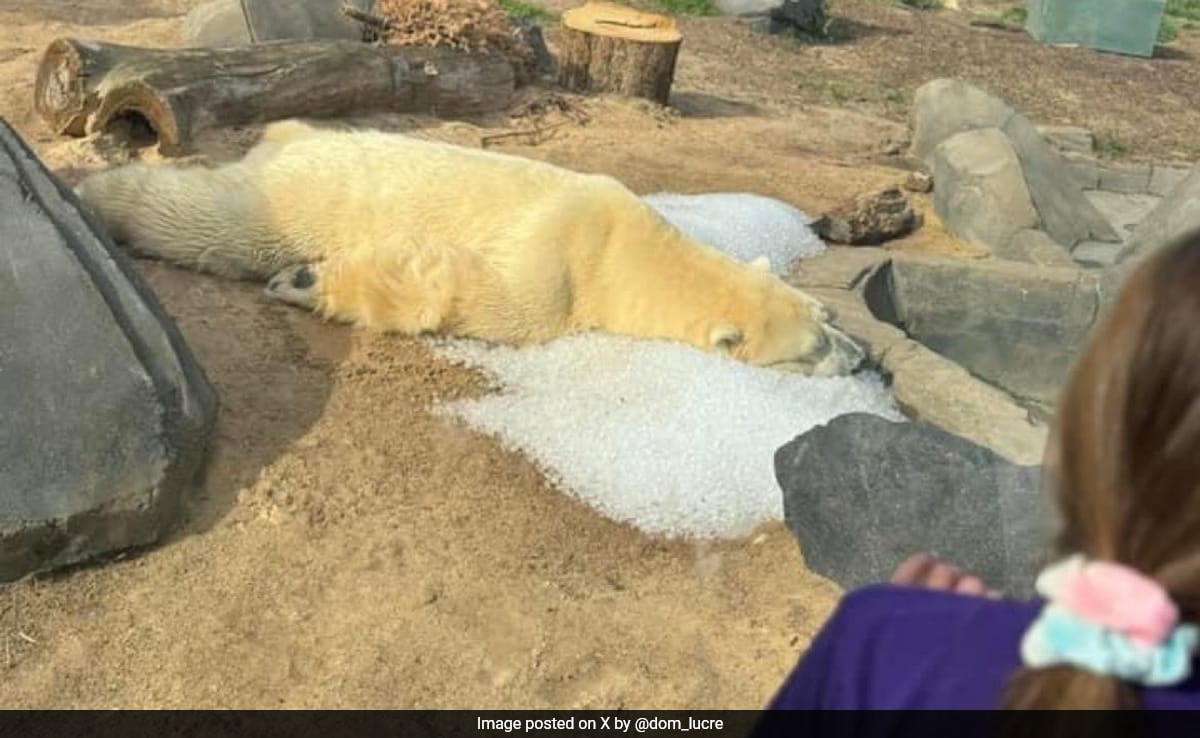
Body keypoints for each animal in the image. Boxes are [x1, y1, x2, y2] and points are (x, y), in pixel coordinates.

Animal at [75, 119, 867, 377]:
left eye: (828, 320)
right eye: (811, 349)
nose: (862, 360)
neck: (635, 246)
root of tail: (289, 137)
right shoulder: (562, 263)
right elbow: (484, 297)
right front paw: (308, 280)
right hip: (297, 194)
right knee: (215, 221)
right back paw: (101, 195)